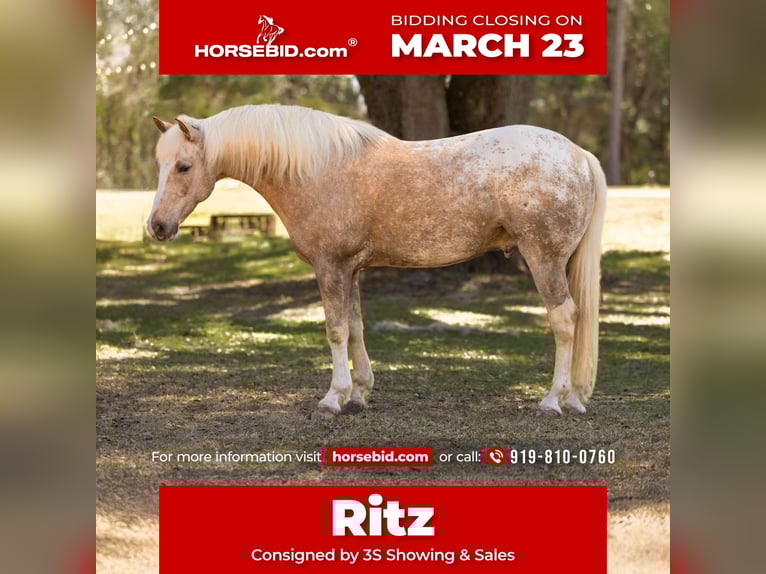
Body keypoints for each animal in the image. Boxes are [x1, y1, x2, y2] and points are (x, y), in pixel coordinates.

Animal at [149, 104, 606, 419]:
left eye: (184, 166)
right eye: (159, 164)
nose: (157, 226)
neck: (317, 169)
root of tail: (580, 154)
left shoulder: (330, 267)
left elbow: (335, 331)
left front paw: (332, 399)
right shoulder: (349, 269)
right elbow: (354, 327)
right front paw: (358, 394)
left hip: (544, 259)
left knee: (565, 318)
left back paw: (553, 400)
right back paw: (573, 398)